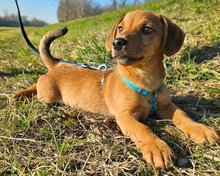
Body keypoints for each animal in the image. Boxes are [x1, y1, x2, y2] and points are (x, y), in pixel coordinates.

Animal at [12, 10, 220, 168]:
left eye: (147, 29)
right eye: (120, 28)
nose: (117, 42)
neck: (145, 81)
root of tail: (57, 63)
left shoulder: (166, 105)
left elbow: (182, 116)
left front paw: (200, 129)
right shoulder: (125, 116)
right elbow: (143, 129)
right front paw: (157, 147)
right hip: (48, 96)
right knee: (38, 84)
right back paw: (20, 95)